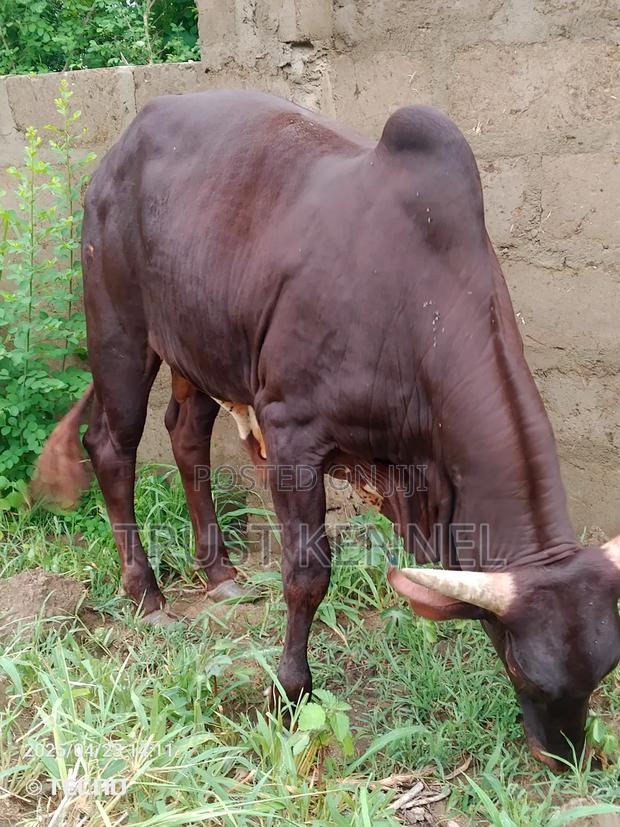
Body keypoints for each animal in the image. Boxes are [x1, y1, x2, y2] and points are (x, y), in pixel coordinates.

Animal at [32, 90, 620, 772]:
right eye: (524, 672)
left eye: (603, 673)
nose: (568, 758)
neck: (418, 306)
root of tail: (127, 139)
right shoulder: (292, 430)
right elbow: (307, 575)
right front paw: (288, 693)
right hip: (119, 330)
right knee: (111, 446)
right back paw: (146, 594)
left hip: (200, 344)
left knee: (185, 435)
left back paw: (220, 574)